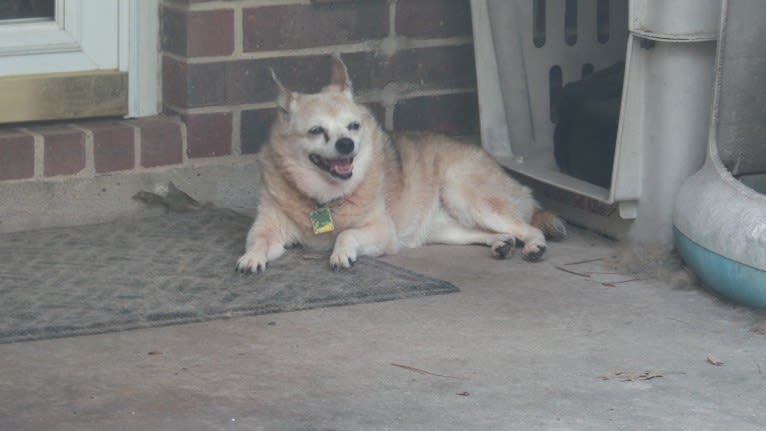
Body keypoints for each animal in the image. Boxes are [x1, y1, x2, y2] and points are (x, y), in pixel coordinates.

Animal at [237, 56, 568, 274]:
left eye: (354, 126)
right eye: (316, 131)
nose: (346, 144)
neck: (325, 197)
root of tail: (510, 177)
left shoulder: (382, 232)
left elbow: (347, 234)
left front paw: (341, 253)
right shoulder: (268, 227)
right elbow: (258, 240)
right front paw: (252, 257)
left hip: (465, 194)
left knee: (527, 228)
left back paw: (534, 247)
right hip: (446, 228)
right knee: (490, 232)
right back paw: (502, 243)